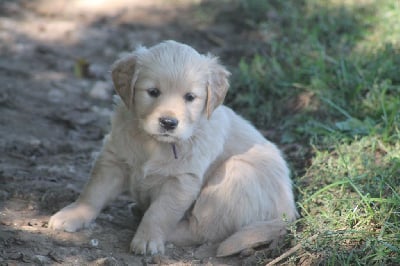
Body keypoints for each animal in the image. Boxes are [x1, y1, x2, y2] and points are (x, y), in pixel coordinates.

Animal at [49, 40, 296, 256]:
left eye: (190, 97)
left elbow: (160, 213)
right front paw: (72, 214)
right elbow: (94, 191)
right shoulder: (114, 159)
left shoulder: (181, 181)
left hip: (235, 175)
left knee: (201, 230)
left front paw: (148, 239)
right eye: (153, 92)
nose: (168, 123)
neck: (154, 143)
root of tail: (289, 213)